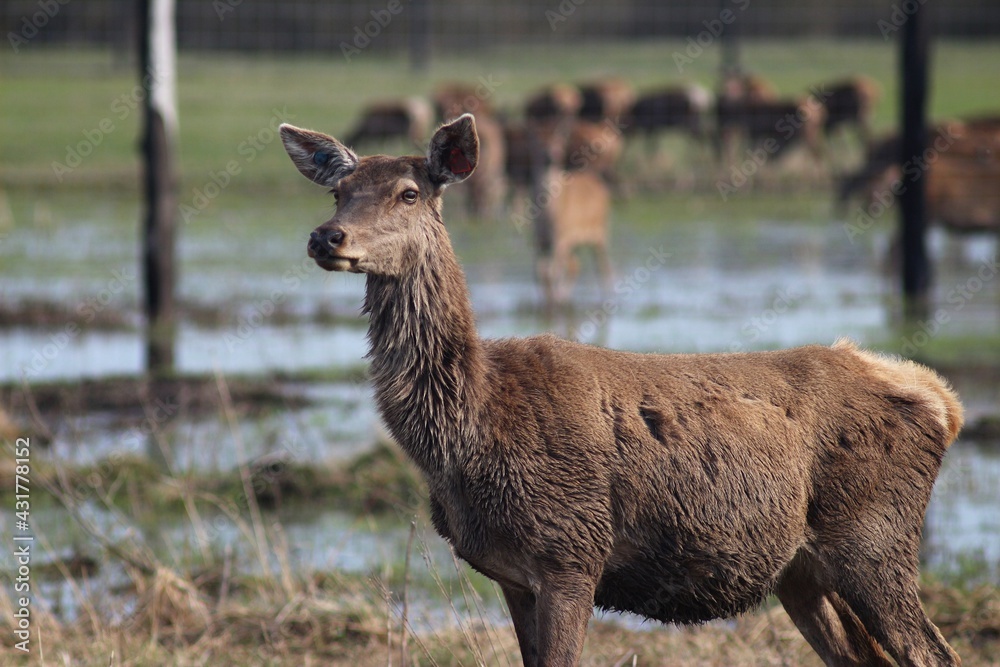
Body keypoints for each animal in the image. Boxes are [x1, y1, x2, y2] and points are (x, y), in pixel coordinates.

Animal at [280, 114, 964, 667]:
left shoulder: (572, 550)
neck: (473, 429)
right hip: (803, 571)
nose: (326, 236)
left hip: (873, 538)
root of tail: (943, 402)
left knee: (935, 653)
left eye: (409, 192)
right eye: (339, 191)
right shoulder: (511, 575)